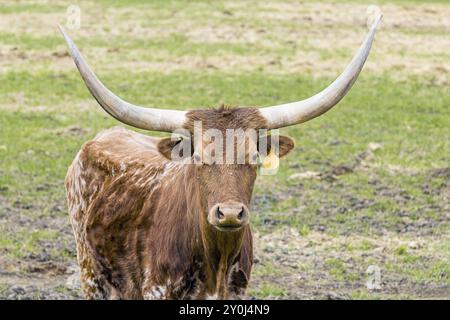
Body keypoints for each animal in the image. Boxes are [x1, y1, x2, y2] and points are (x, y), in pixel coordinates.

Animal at [61, 10, 382, 300]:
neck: (216, 262)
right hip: (90, 274)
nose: (229, 213)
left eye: (254, 157)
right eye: (199, 158)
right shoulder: (156, 290)